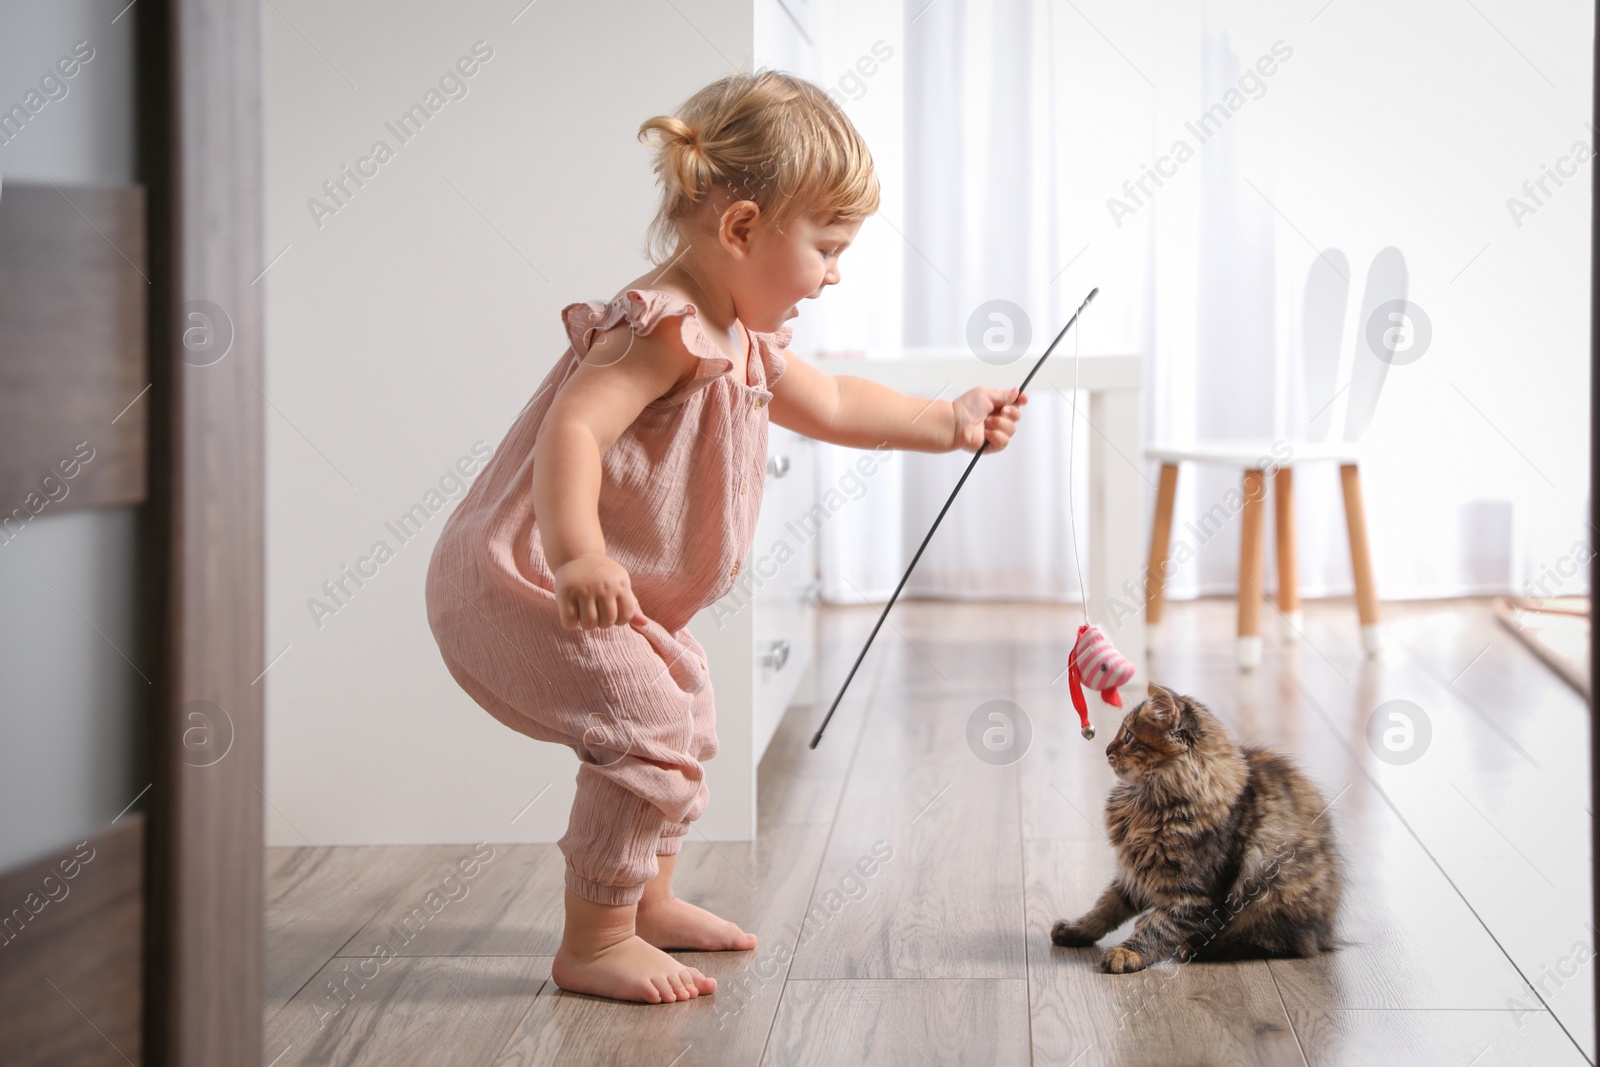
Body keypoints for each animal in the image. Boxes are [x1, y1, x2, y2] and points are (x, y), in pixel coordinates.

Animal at [1049, 684, 1337, 979]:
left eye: (1128, 735)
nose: (1107, 749)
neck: (1148, 801)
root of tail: (1327, 932)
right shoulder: (1136, 874)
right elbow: (1106, 908)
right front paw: (1076, 929)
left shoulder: (1192, 893)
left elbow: (1159, 927)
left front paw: (1127, 953)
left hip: (1273, 895)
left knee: (1277, 943)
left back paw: (1196, 946)